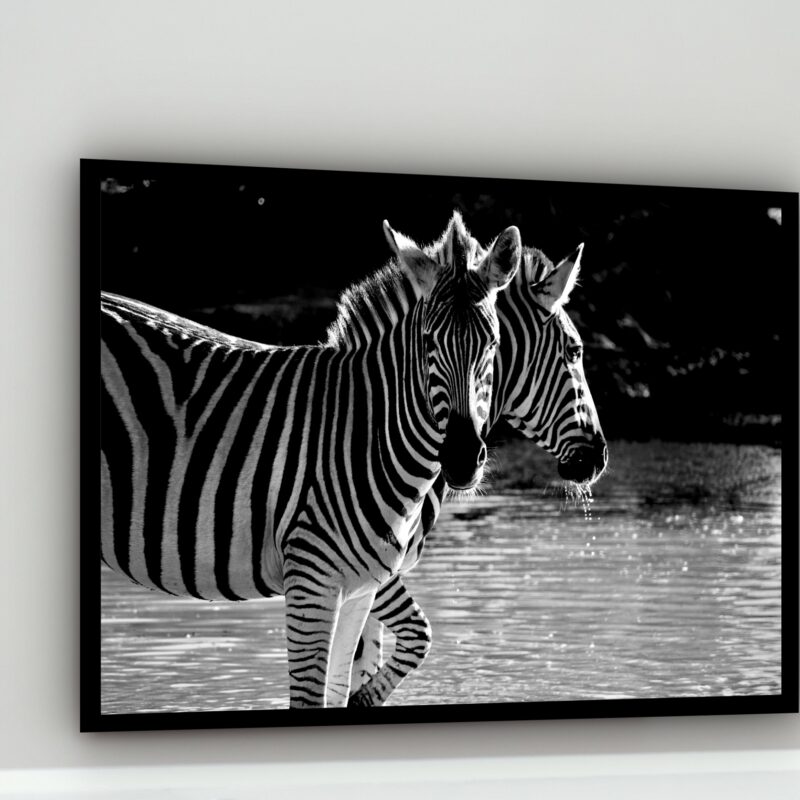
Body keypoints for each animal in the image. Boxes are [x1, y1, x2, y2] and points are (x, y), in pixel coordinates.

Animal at [100, 212, 521, 709]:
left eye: (492, 344)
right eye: (427, 343)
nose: (461, 459)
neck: (367, 433)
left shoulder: (361, 588)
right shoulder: (311, 580)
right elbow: (307, 698)